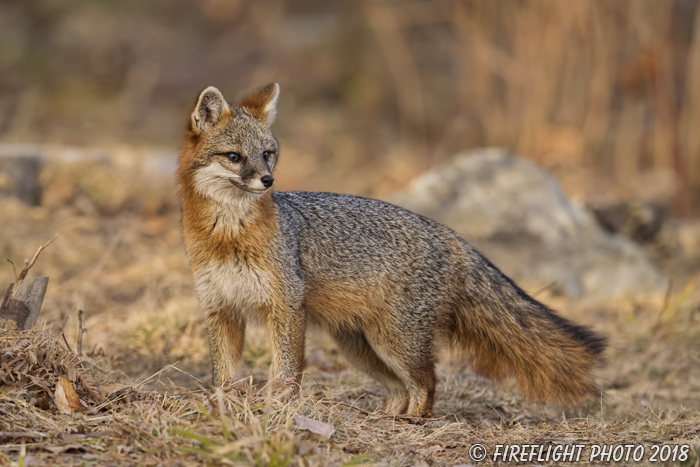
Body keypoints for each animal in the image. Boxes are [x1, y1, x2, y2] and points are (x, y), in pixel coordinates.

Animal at [178, 83, 604, 416]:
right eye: (235, 157)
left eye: (267, 154)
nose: (268, 180)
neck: (227, 238)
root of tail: (448, 232)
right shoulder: (221, 310)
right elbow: (222, 375)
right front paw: (223, 407)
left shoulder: (285, 306)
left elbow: (286, 372)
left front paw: (279, 409)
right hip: (362, 347)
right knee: (400, 388)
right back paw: (385, 419)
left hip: (396, 343)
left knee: (427, 383)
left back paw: (413, 423)